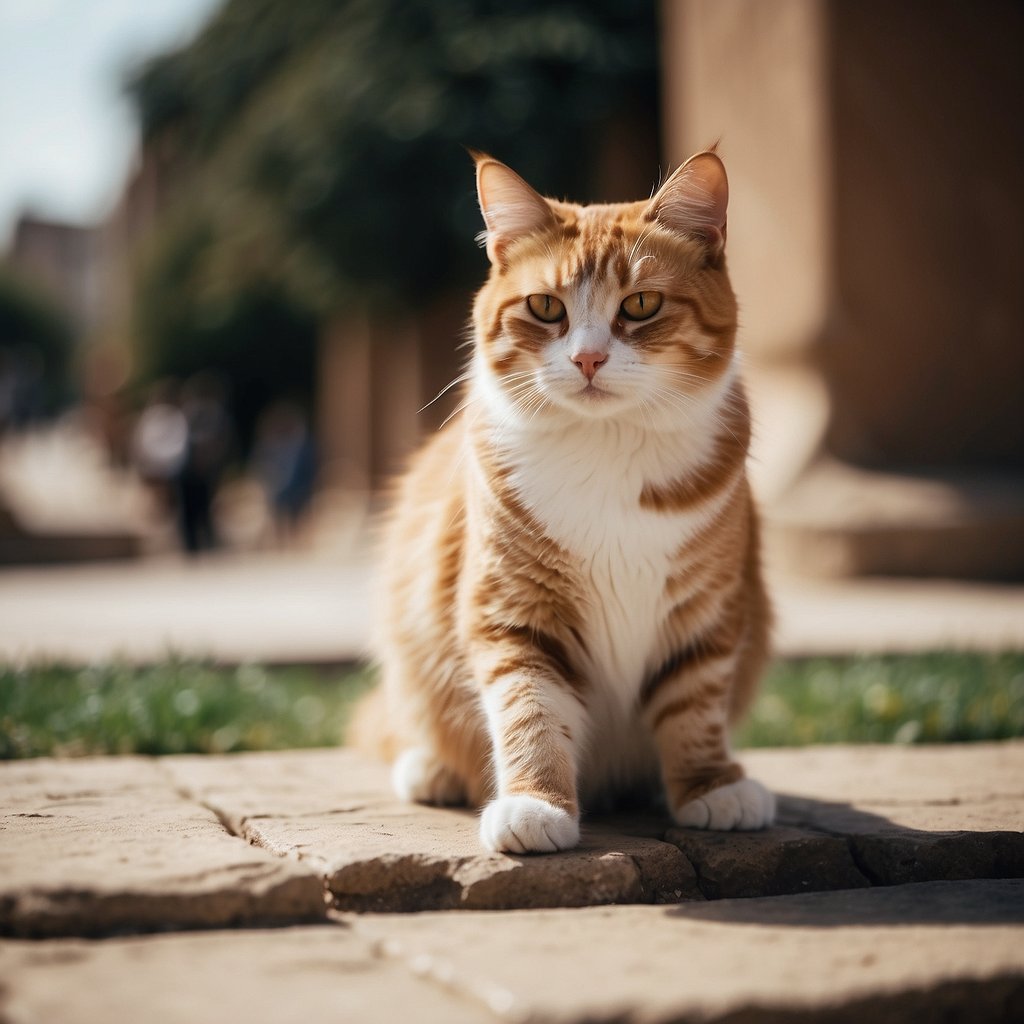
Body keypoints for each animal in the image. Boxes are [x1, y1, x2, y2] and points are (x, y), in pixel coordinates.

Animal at [354, 149, 774, 856]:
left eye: (642, 304)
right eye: (546, 307)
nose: (588, 358)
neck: (607, 451)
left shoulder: (707, 613)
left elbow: (695, 707)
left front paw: (710, 786)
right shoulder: (515, 612)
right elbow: (531, 710)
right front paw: (536, 804)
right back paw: (431, 767)